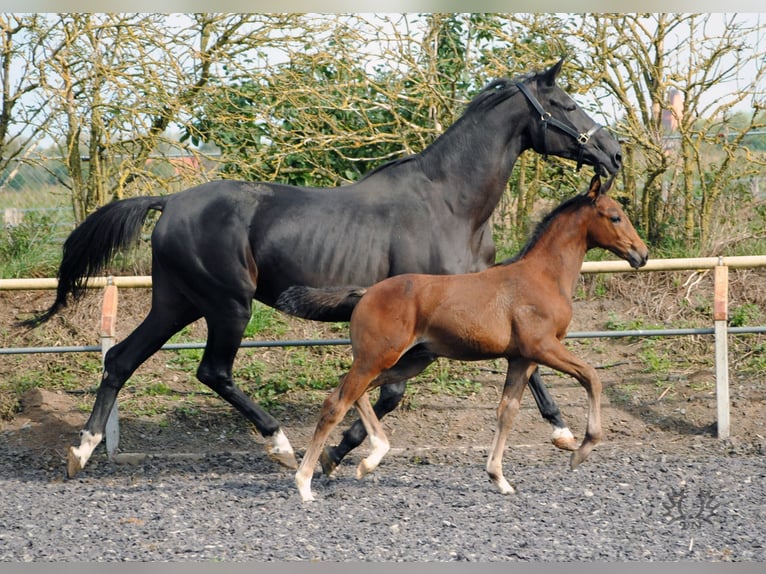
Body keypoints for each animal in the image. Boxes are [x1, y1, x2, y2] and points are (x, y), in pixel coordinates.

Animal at [24, 59, 624, 482]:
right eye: (567, 104)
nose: (614, 153)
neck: (449, 204)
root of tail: (169, 201)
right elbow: (387, 394)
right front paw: (341, 457)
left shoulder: (477, 307)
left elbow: (528, 365)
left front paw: (563, 432)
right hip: (227, 304)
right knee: (212, 371)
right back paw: (282, 447)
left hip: (177, 301)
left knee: (121, 360)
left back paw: (81, 452)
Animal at [294, 176, 648, 504]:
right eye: (615, 216)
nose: (641, 254)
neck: (543, 277)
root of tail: (366, 292)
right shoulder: (543, 347)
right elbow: (591, 377)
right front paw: (580, 451)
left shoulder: (521, 358)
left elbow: (507, 411)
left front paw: (499, 478)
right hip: (376, 357)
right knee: (336, 402)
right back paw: (305, 484)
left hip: (409, 360)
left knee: (357, 393)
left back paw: (368, 459)